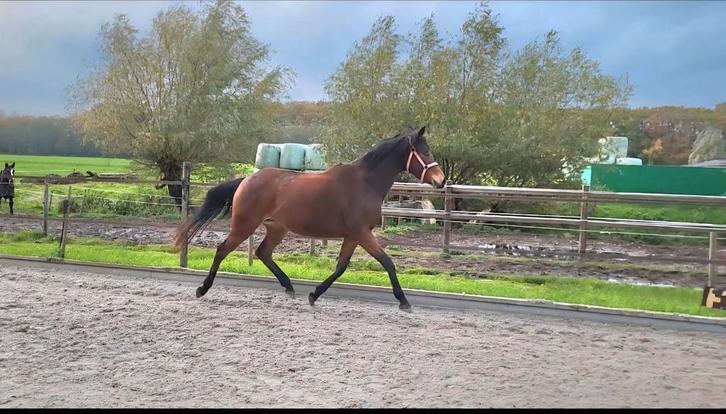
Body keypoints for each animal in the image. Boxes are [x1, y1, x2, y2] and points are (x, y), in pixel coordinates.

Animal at [175, 126, 445, 311]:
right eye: (424, 151)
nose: (441, 181)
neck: (364, 183)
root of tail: (246, 179)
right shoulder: (362, 233)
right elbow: (387, 262)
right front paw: (404, 300)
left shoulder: (353, 236)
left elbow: (341, 266)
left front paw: (314, 294)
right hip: (244, 226)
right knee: (222, 249)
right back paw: (203, 288)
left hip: (277, 228)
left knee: (263, 253)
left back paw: (289, 286)